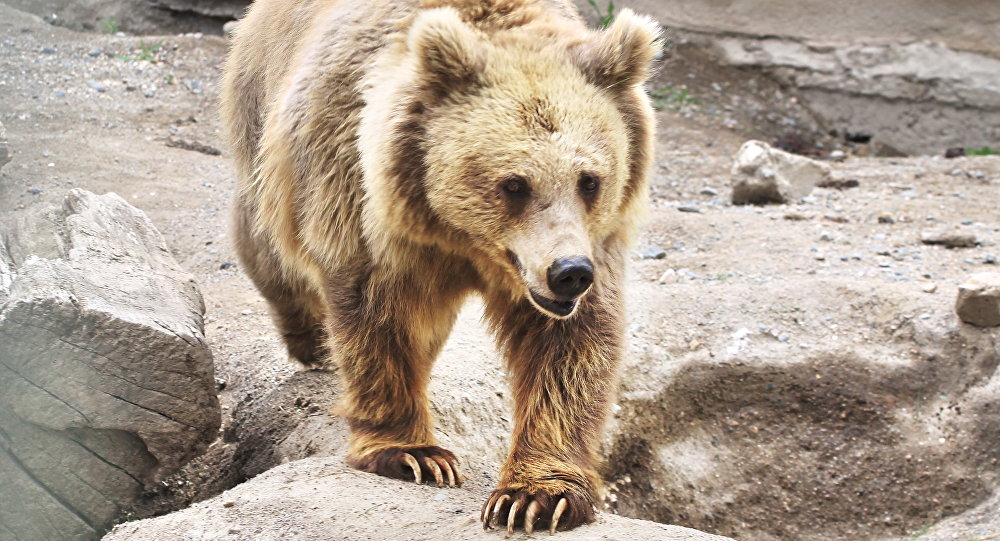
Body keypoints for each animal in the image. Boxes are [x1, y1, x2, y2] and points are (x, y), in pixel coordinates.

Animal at [225, 0, 664, 532]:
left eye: (590, 180)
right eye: (514, 184)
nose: (568, 272)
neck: (463, 238)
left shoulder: (591, 245)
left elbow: (569, 346)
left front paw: (535, 497)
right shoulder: (361, 194)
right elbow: (377, 315)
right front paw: (412, 454)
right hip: (265, 119)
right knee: (267, 240)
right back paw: (311, 340)